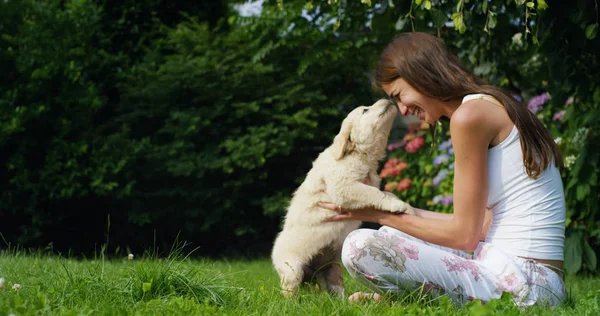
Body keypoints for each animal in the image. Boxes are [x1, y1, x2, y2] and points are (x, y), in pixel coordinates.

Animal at [270, 99, 412, 298]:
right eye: (365, 110)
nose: (389, 100)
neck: (357, 155)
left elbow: (384, 192)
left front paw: (406, 206)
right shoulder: (344, 187)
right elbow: (374, 193)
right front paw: (397, 205)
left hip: (331, 269)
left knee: (334, 287)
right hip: (292, 269)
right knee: (289, 291)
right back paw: (292, 302)